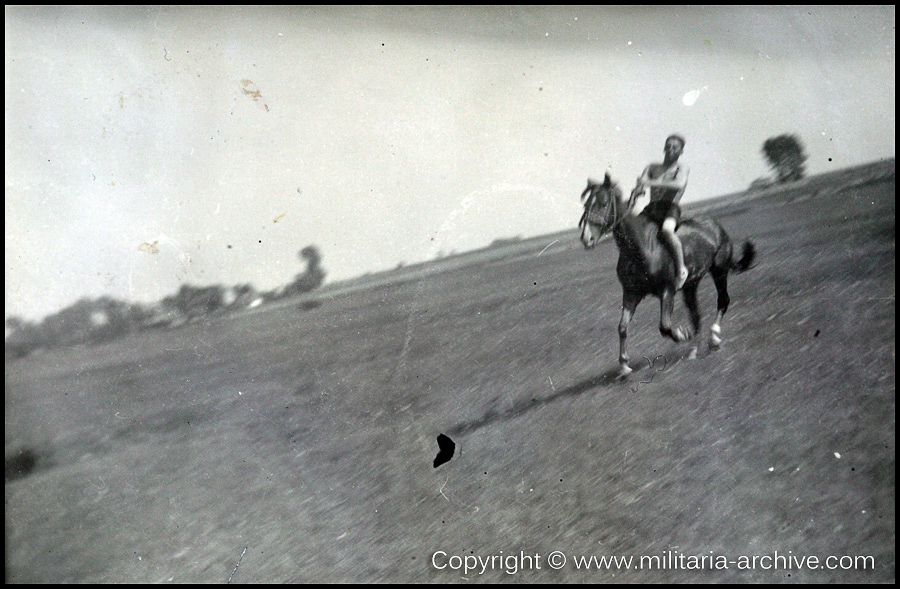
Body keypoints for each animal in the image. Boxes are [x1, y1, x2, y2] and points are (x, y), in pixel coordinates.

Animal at [580, 172, 756, 374]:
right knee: (695, 315)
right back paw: (693, 351)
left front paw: (681, 334)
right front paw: (624, 366)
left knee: (723, 301)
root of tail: (716, 226)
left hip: (719, 271)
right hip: (691, 286)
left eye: (603, 203)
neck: (642, 248)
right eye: (586, 204)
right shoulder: (631, 293)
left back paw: (713, 339)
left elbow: (664, 326)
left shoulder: (667, 290)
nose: (586, 238)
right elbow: (622, 327)